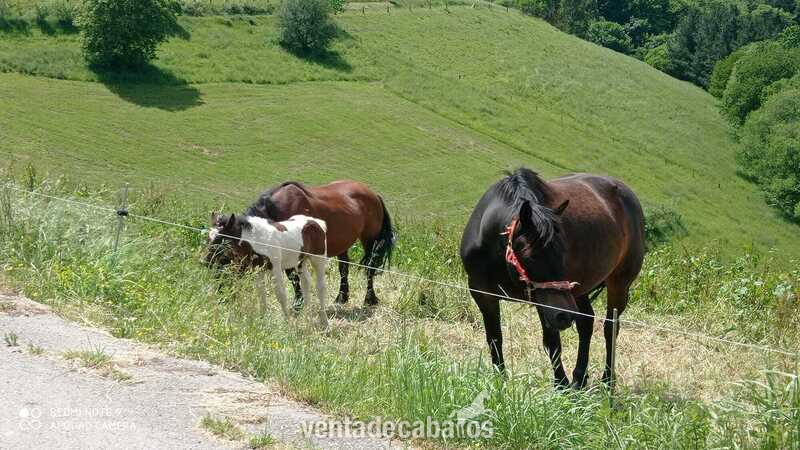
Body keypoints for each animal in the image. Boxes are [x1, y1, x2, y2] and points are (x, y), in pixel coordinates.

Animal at [206, 180, 395, 307]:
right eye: (209, 240)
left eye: (225, 247)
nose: (206, 264)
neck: (278, 212)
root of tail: (374, 194)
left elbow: (293, 276)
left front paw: (298, 303)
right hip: (344, 241)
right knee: (344, 267)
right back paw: (341, 297)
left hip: (370, 239)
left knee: (370, 267)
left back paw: (369, 299)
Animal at [460, 168, 645, 389]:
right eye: (531, 256)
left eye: (563, 251)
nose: (565, 316)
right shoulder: (483, 295)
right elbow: (495, 339)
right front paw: (500, 381)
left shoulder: (547, 304)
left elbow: (552, 342)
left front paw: (561, 385)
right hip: (577, 291)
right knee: (586, 323)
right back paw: (579, 378)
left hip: (617, 284)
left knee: (610, 328)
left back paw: (607, 381)